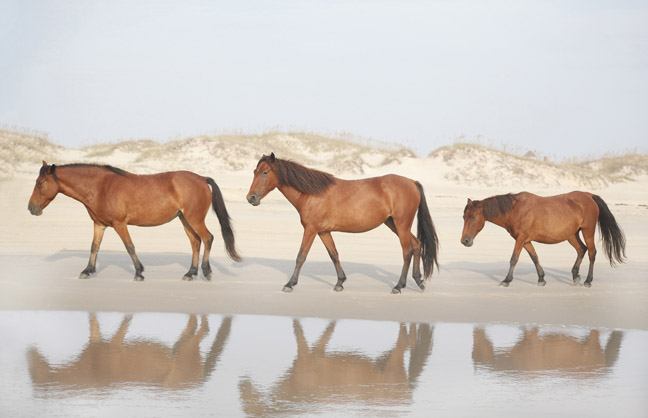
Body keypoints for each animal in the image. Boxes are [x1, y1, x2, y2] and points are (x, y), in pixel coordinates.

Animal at [27, 162, 240, 282]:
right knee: (195, 242)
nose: (31, 208)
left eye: (40, 183)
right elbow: (94, 247)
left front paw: (139, 272)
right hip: (184, 219)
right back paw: (190, 273)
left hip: (194, 219)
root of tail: (202, 178)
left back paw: (206, 271)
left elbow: (129, 246)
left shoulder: (120, 224)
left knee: (208, 238)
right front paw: (87, 271)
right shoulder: (99, 224)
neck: (101, 187)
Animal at [246, 153, 438, 294]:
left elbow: (301, 256)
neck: (311, 193)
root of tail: (412, 182)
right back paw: (418, 281)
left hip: (401, 224)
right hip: (393, 224)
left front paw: (290, 284)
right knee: (417, 245)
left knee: (407, 251)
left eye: (265, 172)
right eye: (255, 171)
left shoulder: (310, 230)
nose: (251, 198)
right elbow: (334, 255)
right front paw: (340, 282)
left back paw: (399, 286)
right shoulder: (323, 232)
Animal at [458, 192, 624, 288]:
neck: (515, 209)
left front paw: (506, 280)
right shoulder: (525, 240)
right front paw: (541, 278)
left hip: (587, 231)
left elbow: (513, 259)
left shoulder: (521, 239)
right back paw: (575, 275)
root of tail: (589, 196)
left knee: (591, 253)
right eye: (464, 216)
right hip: (571, 235)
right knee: (581, 250)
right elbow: (534, 257)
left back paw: (588, 281)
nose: (465, 241)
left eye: (473, 216)